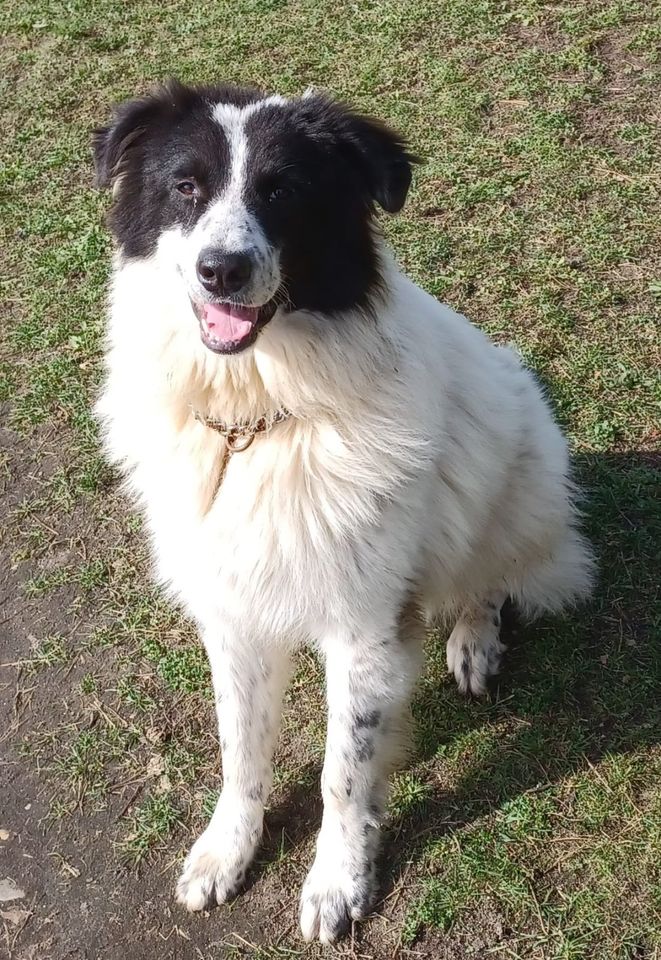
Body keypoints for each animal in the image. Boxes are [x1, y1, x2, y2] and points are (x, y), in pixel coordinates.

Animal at [93, 79, 592, 940]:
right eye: (185, 186)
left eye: (282, 191)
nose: (220, 271)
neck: (257, 419)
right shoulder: (232, 610)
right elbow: (240, 745)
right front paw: (227, 849)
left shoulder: (363, 627)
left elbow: (342, 772)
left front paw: (337, 881)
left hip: (518, 484)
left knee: (489, 579)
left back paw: (473, 642)